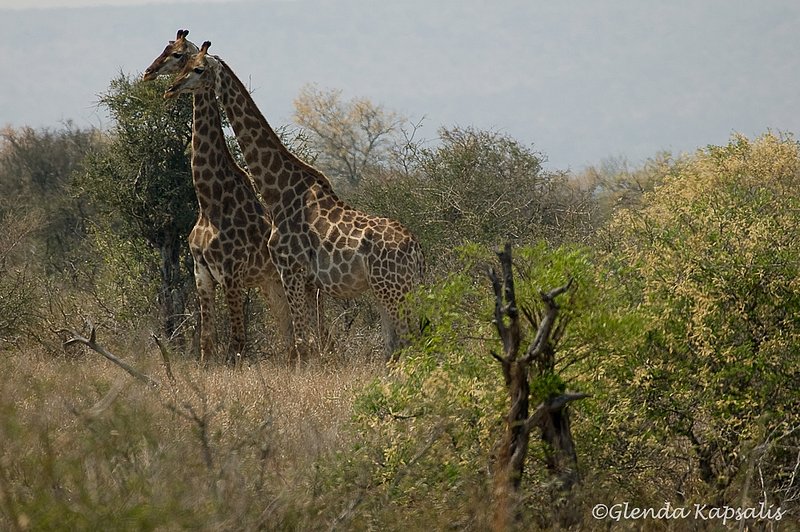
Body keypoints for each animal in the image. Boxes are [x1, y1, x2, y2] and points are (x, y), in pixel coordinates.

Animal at [143, 30, 292, 364]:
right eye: (166, 48)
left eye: (178, 55)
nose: (149, 74)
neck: (210, 202)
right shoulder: (202, 274)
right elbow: (206, 344)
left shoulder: (232, 275)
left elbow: (237, 343)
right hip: (271, 284)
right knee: (288, 333)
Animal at [166, 41, 425, 360]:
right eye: (184, 64)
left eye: (198, 68)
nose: (172, 88)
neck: (279, 192)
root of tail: (417, 251)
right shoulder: (301, 280)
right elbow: (307, 343)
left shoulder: (289, 270)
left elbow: (302, 343)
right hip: (387, 290)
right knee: (394, 345)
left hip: (393, 290)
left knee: (408, 341)